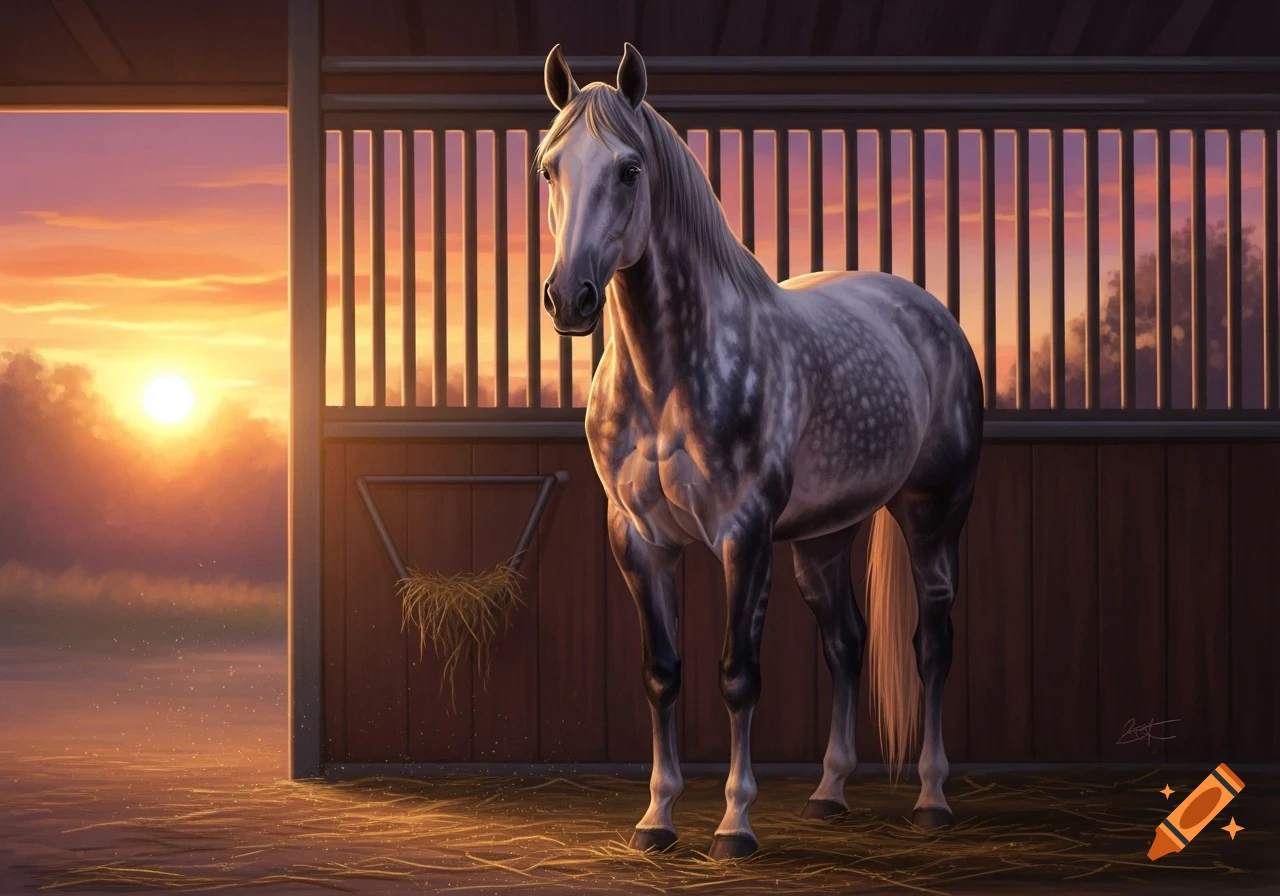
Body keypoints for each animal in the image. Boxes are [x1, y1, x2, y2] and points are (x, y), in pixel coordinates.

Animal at [537, 43, 984, 860]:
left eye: (629, 169)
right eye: (550, 168)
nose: (568, 299)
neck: (667, 375)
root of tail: (928, 312)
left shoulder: (742, 537)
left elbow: (737, 675)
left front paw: (734, 826)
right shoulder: (639, 539)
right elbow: (662, 672)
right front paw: (656, 819)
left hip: (934, 516)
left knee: (932, 644)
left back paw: (932, 799)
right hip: (822, 539)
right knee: (846, 642)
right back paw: (828, 793)